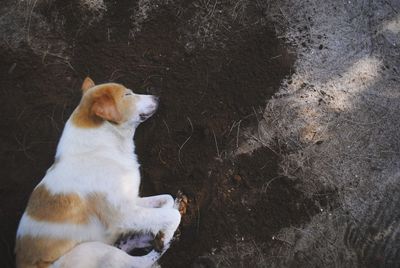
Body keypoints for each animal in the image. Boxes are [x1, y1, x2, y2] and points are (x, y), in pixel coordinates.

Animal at [15, 78, 181, 268]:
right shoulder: (123, 214)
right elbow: (173, 215)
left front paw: (157, 230)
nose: (157, 97)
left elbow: (166, 201)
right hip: (93, 250)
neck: (100, 150)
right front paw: (164, 235)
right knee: (138, 262)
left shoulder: (132, 201)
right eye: (127, 94)